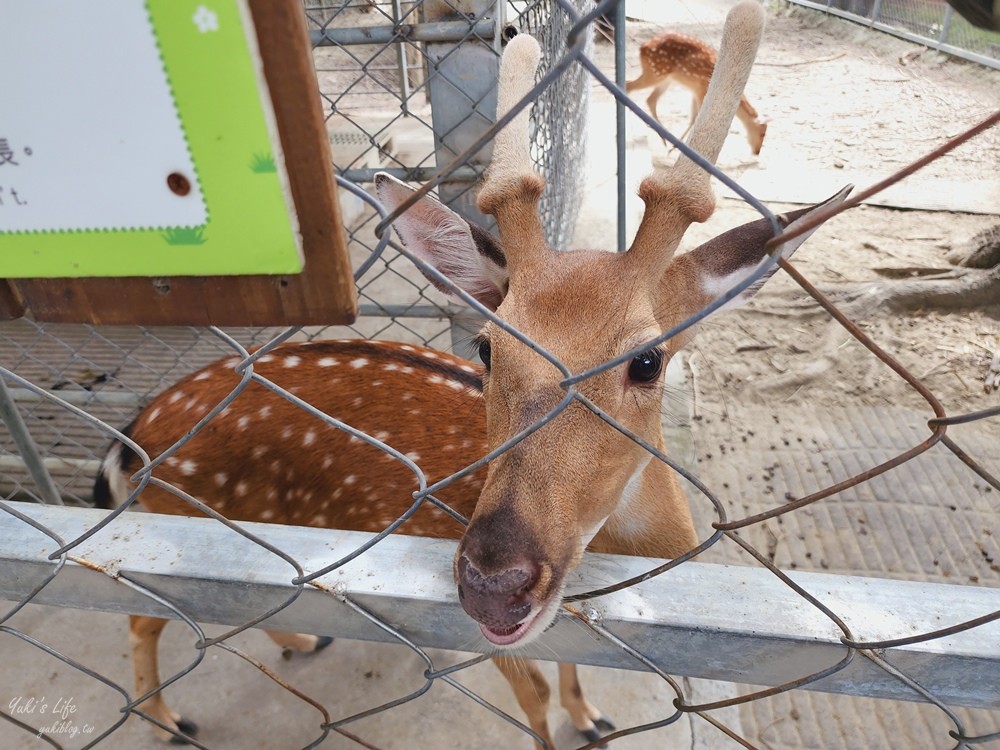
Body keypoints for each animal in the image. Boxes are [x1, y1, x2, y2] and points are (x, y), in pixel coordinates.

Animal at [624, 31, 772, 155]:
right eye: (762, 133)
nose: (757, 152)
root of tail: (642, 48)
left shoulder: (696, 90)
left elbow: (693, 118)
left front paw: (676, 147)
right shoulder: (702, 90)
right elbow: (698, 119)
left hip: (665, 78)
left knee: (650, 99)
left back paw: (664, 140)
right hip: (656, 72)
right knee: (629, 85)